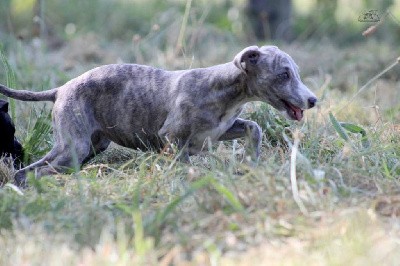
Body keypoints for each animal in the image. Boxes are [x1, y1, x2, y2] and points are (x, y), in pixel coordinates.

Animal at [0, 45, 318, 183]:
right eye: (284, 74)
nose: (313, 100)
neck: (224, 89)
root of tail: (60, 89)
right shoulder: (172, 138)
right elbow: (185, 163)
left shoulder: (220, 130)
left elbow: (254, 127)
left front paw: (253, 160)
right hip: (74, 147)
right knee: (35, 170)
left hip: (88, 146)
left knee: (32, 169)